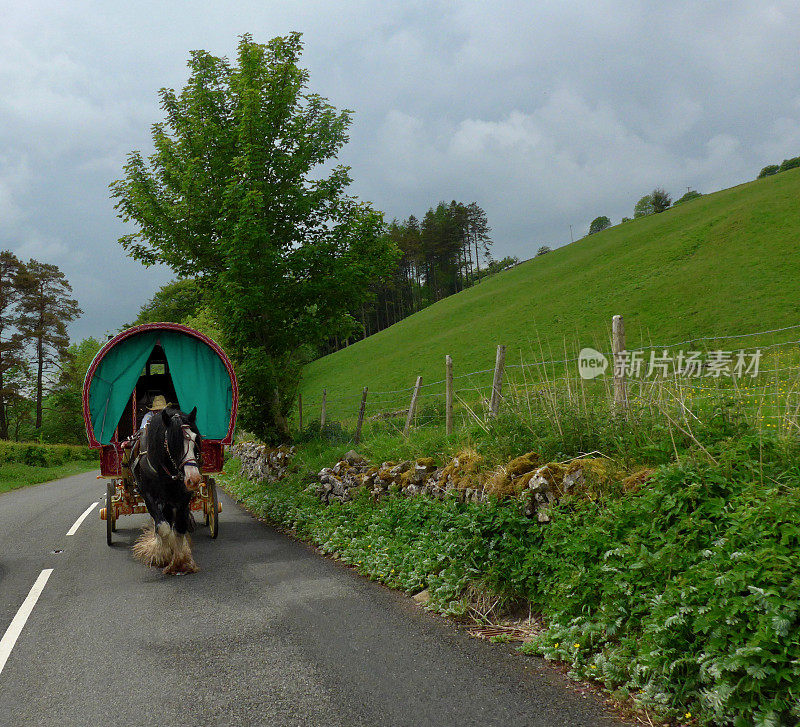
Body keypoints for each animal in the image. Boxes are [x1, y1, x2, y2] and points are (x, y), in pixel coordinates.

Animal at [131, 404, 203, 576]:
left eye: (195, 439)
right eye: (173, 443)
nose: (193, 479)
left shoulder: (182, 497)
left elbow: (180, 527)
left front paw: (181, 561)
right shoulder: (149, 497)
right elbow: (162, 527)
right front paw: (162, 555)